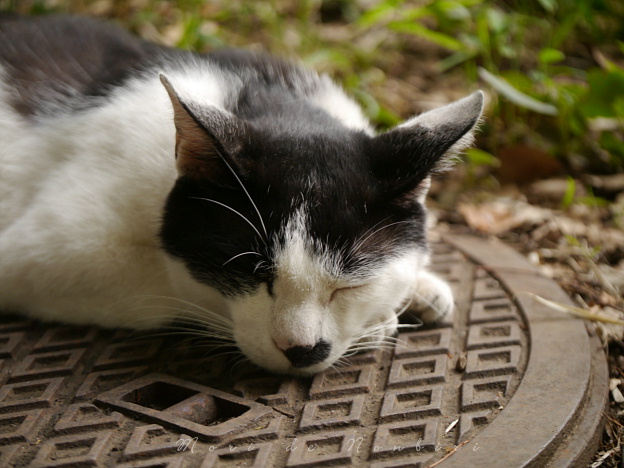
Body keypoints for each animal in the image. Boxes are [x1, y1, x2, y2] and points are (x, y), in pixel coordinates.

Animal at [0, 13, 482, 376]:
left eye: (349, 286)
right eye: (251, 273)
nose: (301, 350)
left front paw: (419, 286)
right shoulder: (37, 254)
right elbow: (169, 284)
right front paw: (381, 321)